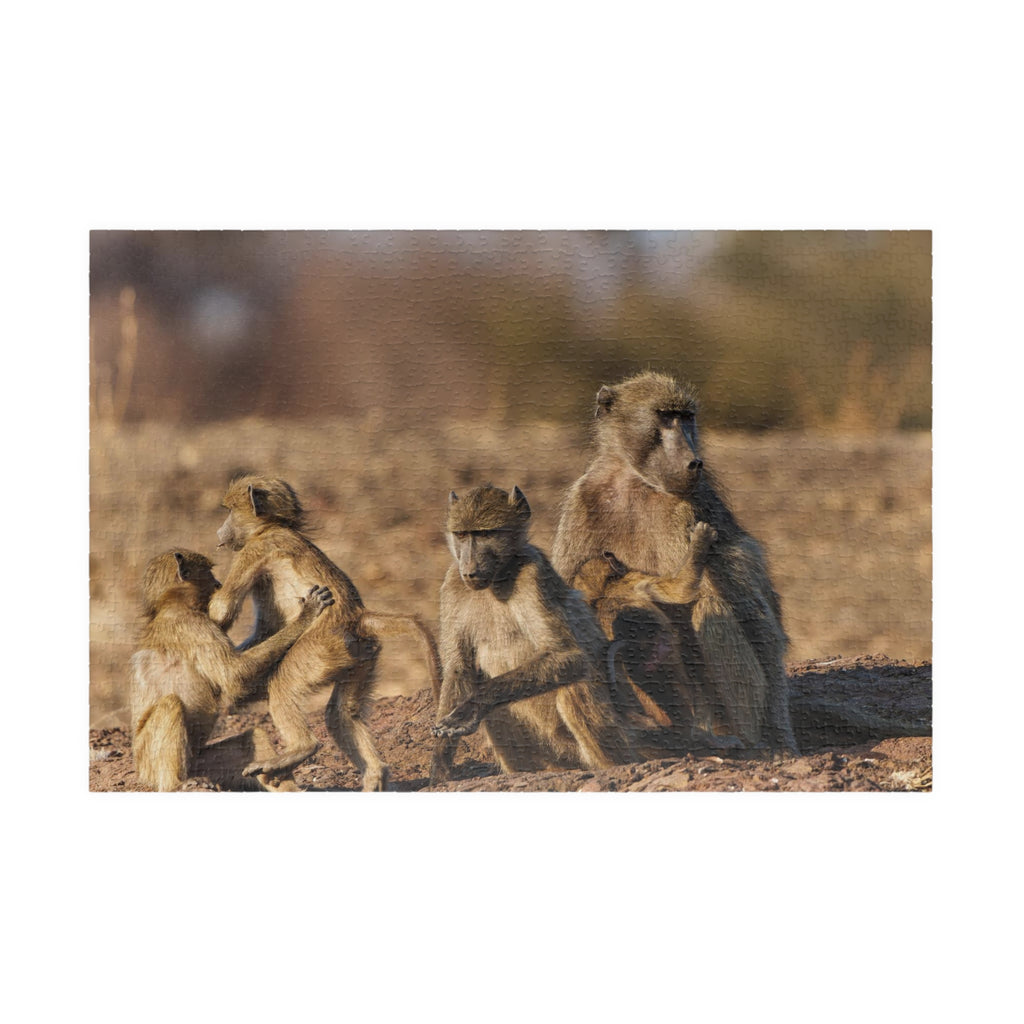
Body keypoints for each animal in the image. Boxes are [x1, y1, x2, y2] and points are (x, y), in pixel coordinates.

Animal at [130, 549, 334, 792]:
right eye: (208, 572)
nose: (218, 584)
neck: (169, 606)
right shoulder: (194, 625)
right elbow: (234, 676)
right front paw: (306, 615)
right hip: (148, 763)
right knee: (171, 705)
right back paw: (177, 784)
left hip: (201, 763)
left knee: (253, 738)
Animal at [209, 475, 442, 792]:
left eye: (230, 511)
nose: (219, 530)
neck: (273, 527)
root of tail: (357, 617)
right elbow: (266, 628)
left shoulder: (256, 548)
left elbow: (222, 610)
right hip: (361, 656)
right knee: (341, 714)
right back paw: (375, 776)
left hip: (321, 649)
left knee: (284, 684)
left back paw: (300, 749)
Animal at [429, 484, 633, 784]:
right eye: (462, 535)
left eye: (485, 534)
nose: (470, 570)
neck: (498, 580)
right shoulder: (452, 584)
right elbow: (459, 669)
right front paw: (440, 766)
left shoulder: (533, 576)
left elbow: (569, 656)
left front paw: (472, 706)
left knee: (573, 687)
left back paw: (610, 767)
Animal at [552, 371, 800, 755]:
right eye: (665, 416)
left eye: (687, 417)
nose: (693, 462)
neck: (633, 482)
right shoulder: (582, 502)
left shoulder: (687, 511)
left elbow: (745, 612)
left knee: (712, 606)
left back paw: (748, 742)